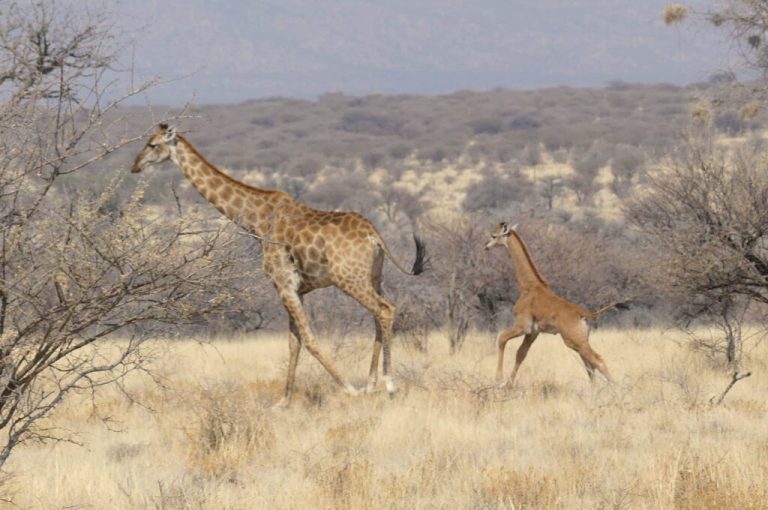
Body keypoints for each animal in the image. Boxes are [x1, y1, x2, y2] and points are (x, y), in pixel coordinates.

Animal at [131, 124, 425, 406]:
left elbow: (308, 338)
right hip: (374, 277)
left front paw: (348, 390)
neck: (257, 220)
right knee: (379, 314)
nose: (135, 166)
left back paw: (388, 384)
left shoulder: (283, 283)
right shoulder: (297, 289)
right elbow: (294, 342)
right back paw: (371, 384)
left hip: (349, 278)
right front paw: (284, 402)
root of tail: (374, 235)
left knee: (384, 310)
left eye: (152, 144)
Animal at [484, 222, 623, 387]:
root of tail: (585, 314)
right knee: (589, 365)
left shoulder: (523, 325)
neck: (529, 286)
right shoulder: (534, 331)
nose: (485, 246)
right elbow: (521, 353)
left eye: (494, 235)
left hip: (573, 340)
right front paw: (508, 385)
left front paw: (498, 379)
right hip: (581, 340)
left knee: (598, 360)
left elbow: (501, 338)